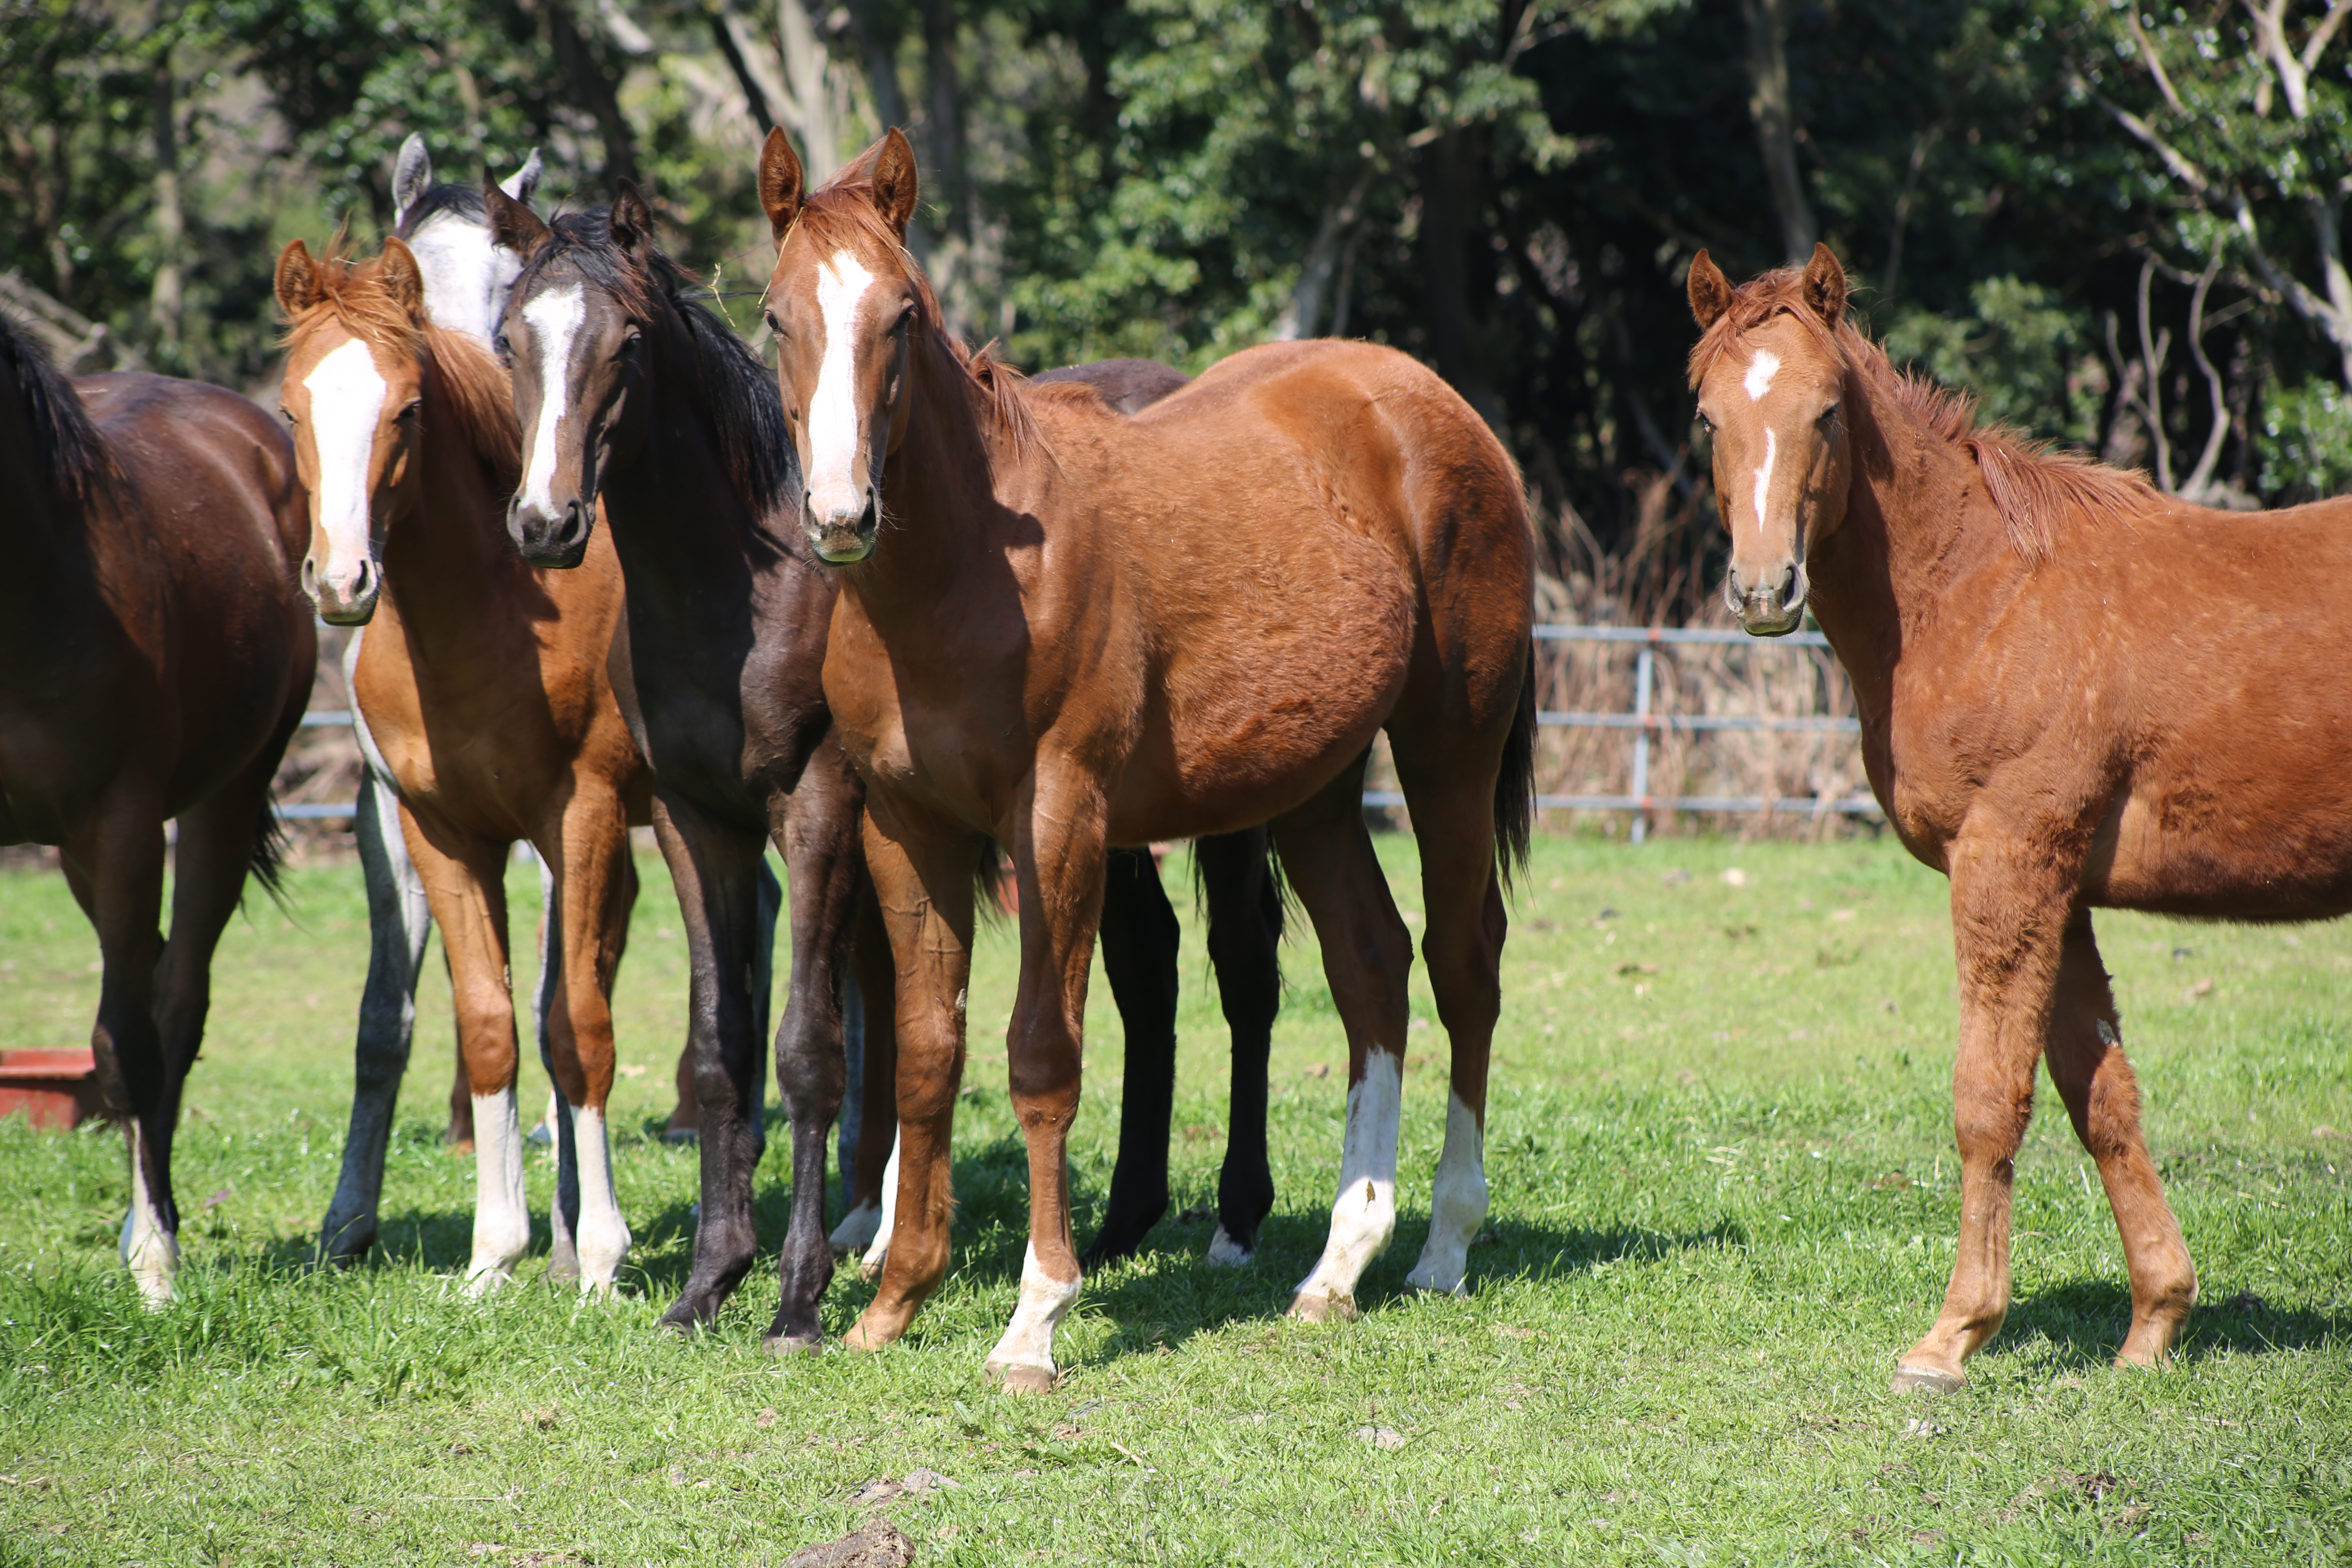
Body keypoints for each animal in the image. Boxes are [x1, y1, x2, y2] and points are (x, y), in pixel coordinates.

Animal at [0, 312, 315, 1307]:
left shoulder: (127, 824)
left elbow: (125, 1045)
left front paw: (156, 1274)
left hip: (221, 803)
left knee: (173, 1008)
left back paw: (155, 1230)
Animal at [280, 240, 658, 1297]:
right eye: (289, 410)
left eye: (406, 409)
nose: (342, 581)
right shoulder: (439, 831)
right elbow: (489, 1025)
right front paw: (497, 1254)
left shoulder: (579, 819)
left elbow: (574, 1023)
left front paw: (600, 1257)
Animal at [480, 181, 1289, 1354]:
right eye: (509, 339)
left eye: (625, 340)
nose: (547, 523)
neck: (739, 587)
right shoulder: (696, 822)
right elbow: (726, 1045)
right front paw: (712, 1279)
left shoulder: (820, 805)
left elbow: (811, 1045)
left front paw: (799, 1297)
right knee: (1146, 968)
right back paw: (1121, 1221)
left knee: (1243, 967)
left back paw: (1234, 1218)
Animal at [743, 131, 1533, 1382]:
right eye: (777, 317)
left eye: (902, 316)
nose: (839, 514)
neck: (969, 571)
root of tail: (1433, 407)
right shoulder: (905, 827)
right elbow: (925, 1050)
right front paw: (895, 1295)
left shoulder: (1060, 817)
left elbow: (1041, 1056)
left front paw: (1035, 1316)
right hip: (1314, 789)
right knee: (1370, 964)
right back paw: (1339, 1263)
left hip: (1449, 751)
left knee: (1464, 965)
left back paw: (1443, 1244)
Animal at [1684, 245, 2342, 1401]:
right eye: (1708, 416)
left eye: (1825, 412)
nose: (1764, 590)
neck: (1983, 590)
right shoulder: (2062, 889)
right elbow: (2102, 1097)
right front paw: (2153, 1324)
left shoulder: (2008, 865)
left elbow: (1987, 1100)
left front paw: (1952, 1336)